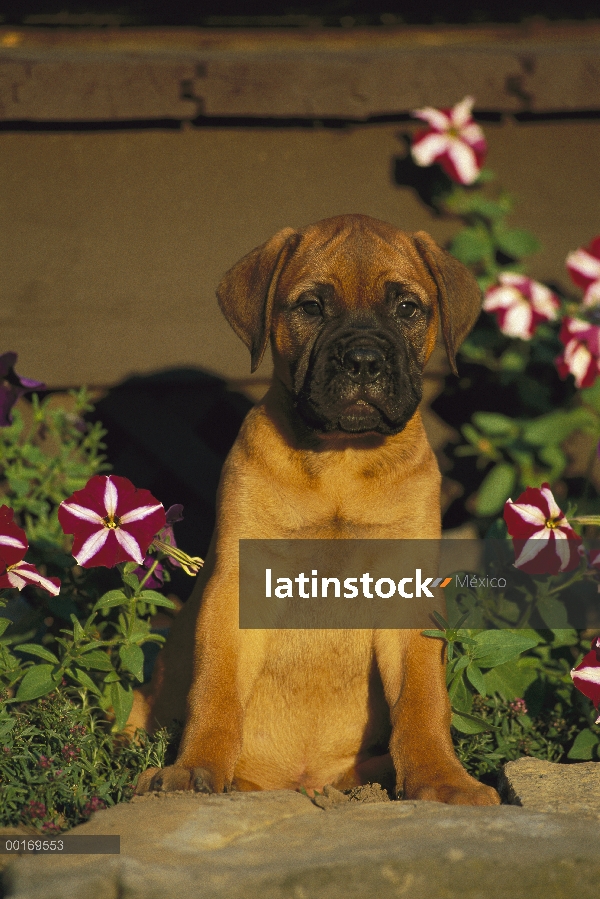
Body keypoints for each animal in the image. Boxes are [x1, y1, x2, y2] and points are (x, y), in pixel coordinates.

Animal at [135, 214, 502, 804]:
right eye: (310, 307)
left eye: (407, 308)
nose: (364, 361)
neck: (340, 463)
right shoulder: (238, 585)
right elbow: (215, 690)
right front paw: (195, 768)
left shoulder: (408, 589)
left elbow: (424, 700)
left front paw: (442, 780)